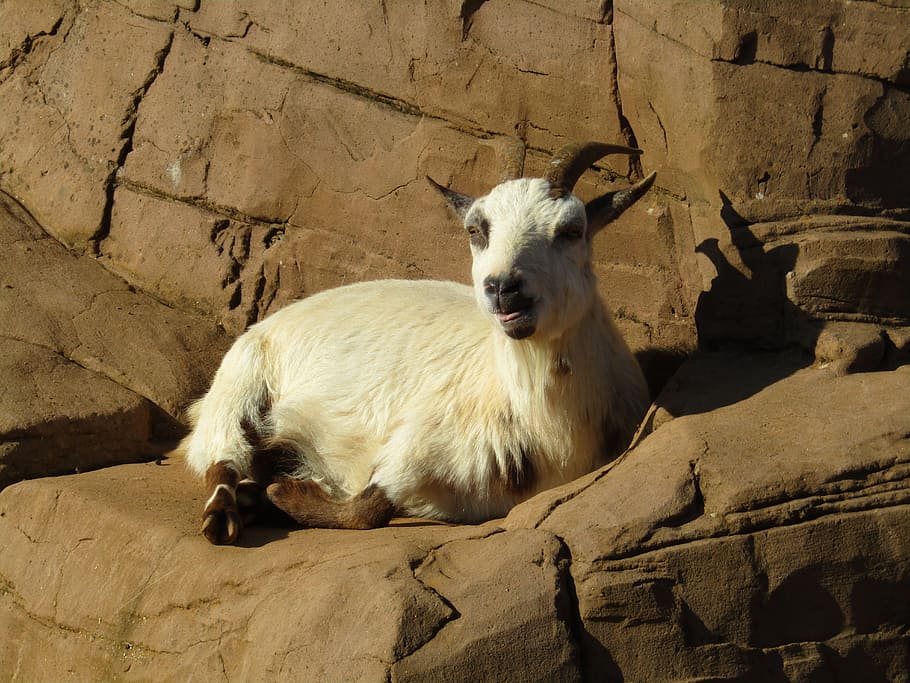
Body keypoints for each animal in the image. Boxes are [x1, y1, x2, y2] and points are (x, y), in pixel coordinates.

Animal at [181, 140, 655, 544]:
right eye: (475, 229)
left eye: (572, 229)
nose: (503, 287)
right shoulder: (415, 440)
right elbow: (368, 507)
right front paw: (279, 495)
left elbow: (366, 508)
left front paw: (275, 495)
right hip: (239, 382)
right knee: (220, 456)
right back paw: (224, 513)